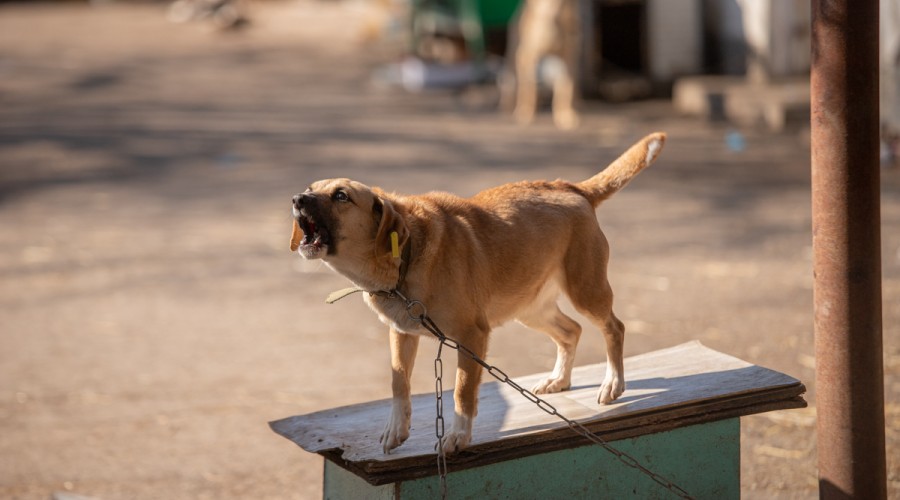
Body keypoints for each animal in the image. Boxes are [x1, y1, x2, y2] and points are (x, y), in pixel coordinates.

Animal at [292, 133, 664, 454]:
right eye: (311, 189)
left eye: (341, 196)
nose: (296, 199)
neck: (405, 256)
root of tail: (570, 187)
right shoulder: (401, 334)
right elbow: (399, 383)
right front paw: (396, 430)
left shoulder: (471, 337)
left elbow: (462, 390)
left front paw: (458, 436)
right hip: (530, 309)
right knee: (571, 331)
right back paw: (559, 379)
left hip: (585, 290)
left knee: (614, 327)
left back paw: (612, 384)